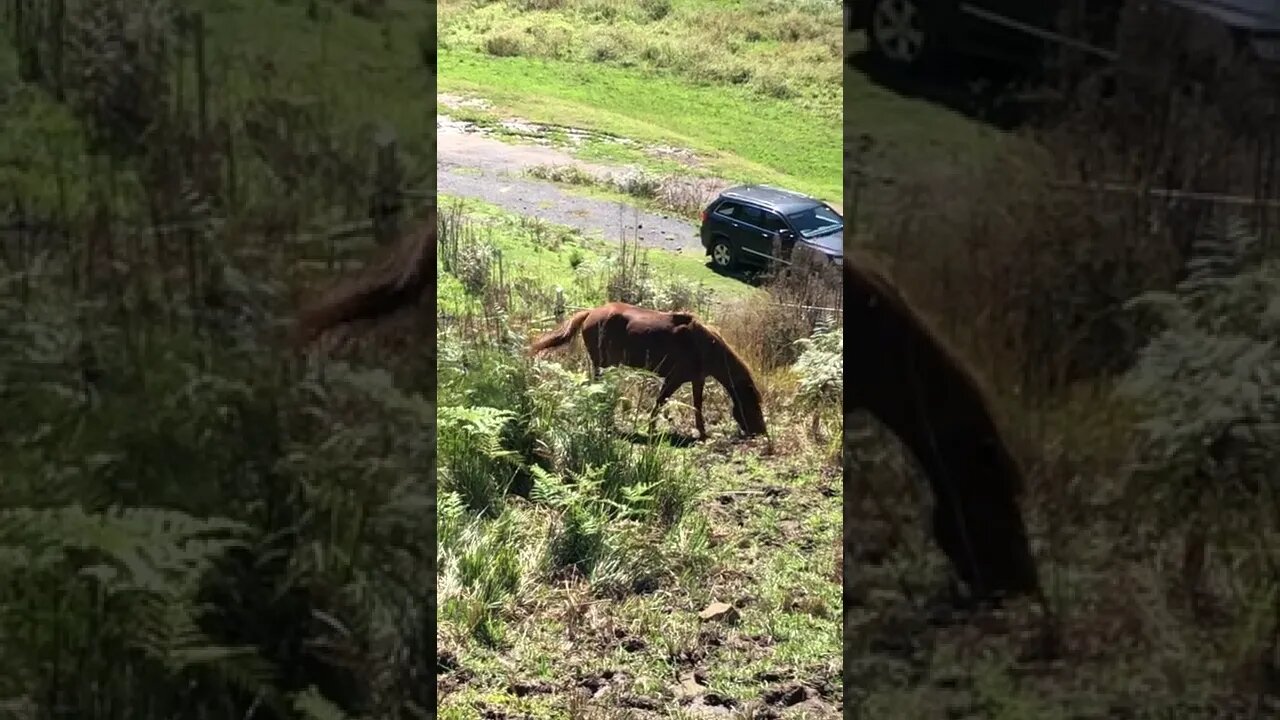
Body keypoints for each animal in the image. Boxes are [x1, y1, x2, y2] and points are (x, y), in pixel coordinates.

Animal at [527, 301, 762, 438]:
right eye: (753, 405)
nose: (760, 430)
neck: (704, 346)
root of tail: (590, 312)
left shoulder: (697, 379)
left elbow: (697, 405)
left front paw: (703, 433)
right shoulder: (673, 379)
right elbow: (660, 402)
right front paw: (651, 429)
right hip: (602, 364)